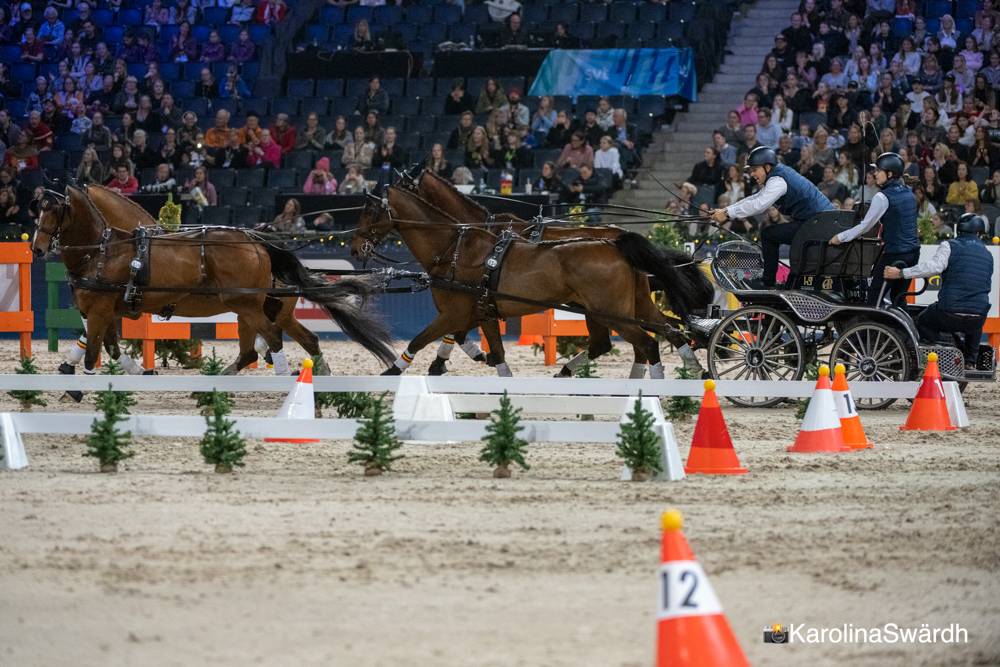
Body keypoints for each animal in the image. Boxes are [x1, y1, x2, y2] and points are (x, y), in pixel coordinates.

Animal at [350, 185, 712, 379]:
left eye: (369, 211)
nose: (354, 246)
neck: (454, 246)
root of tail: (617, 241)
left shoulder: (454, 312)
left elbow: (418, 340)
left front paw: (395, 370)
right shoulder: (482, 312)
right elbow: (495, 354)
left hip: (612, 313)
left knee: (647, 344)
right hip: (630, 306)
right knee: (666, 331)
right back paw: (695, 368)